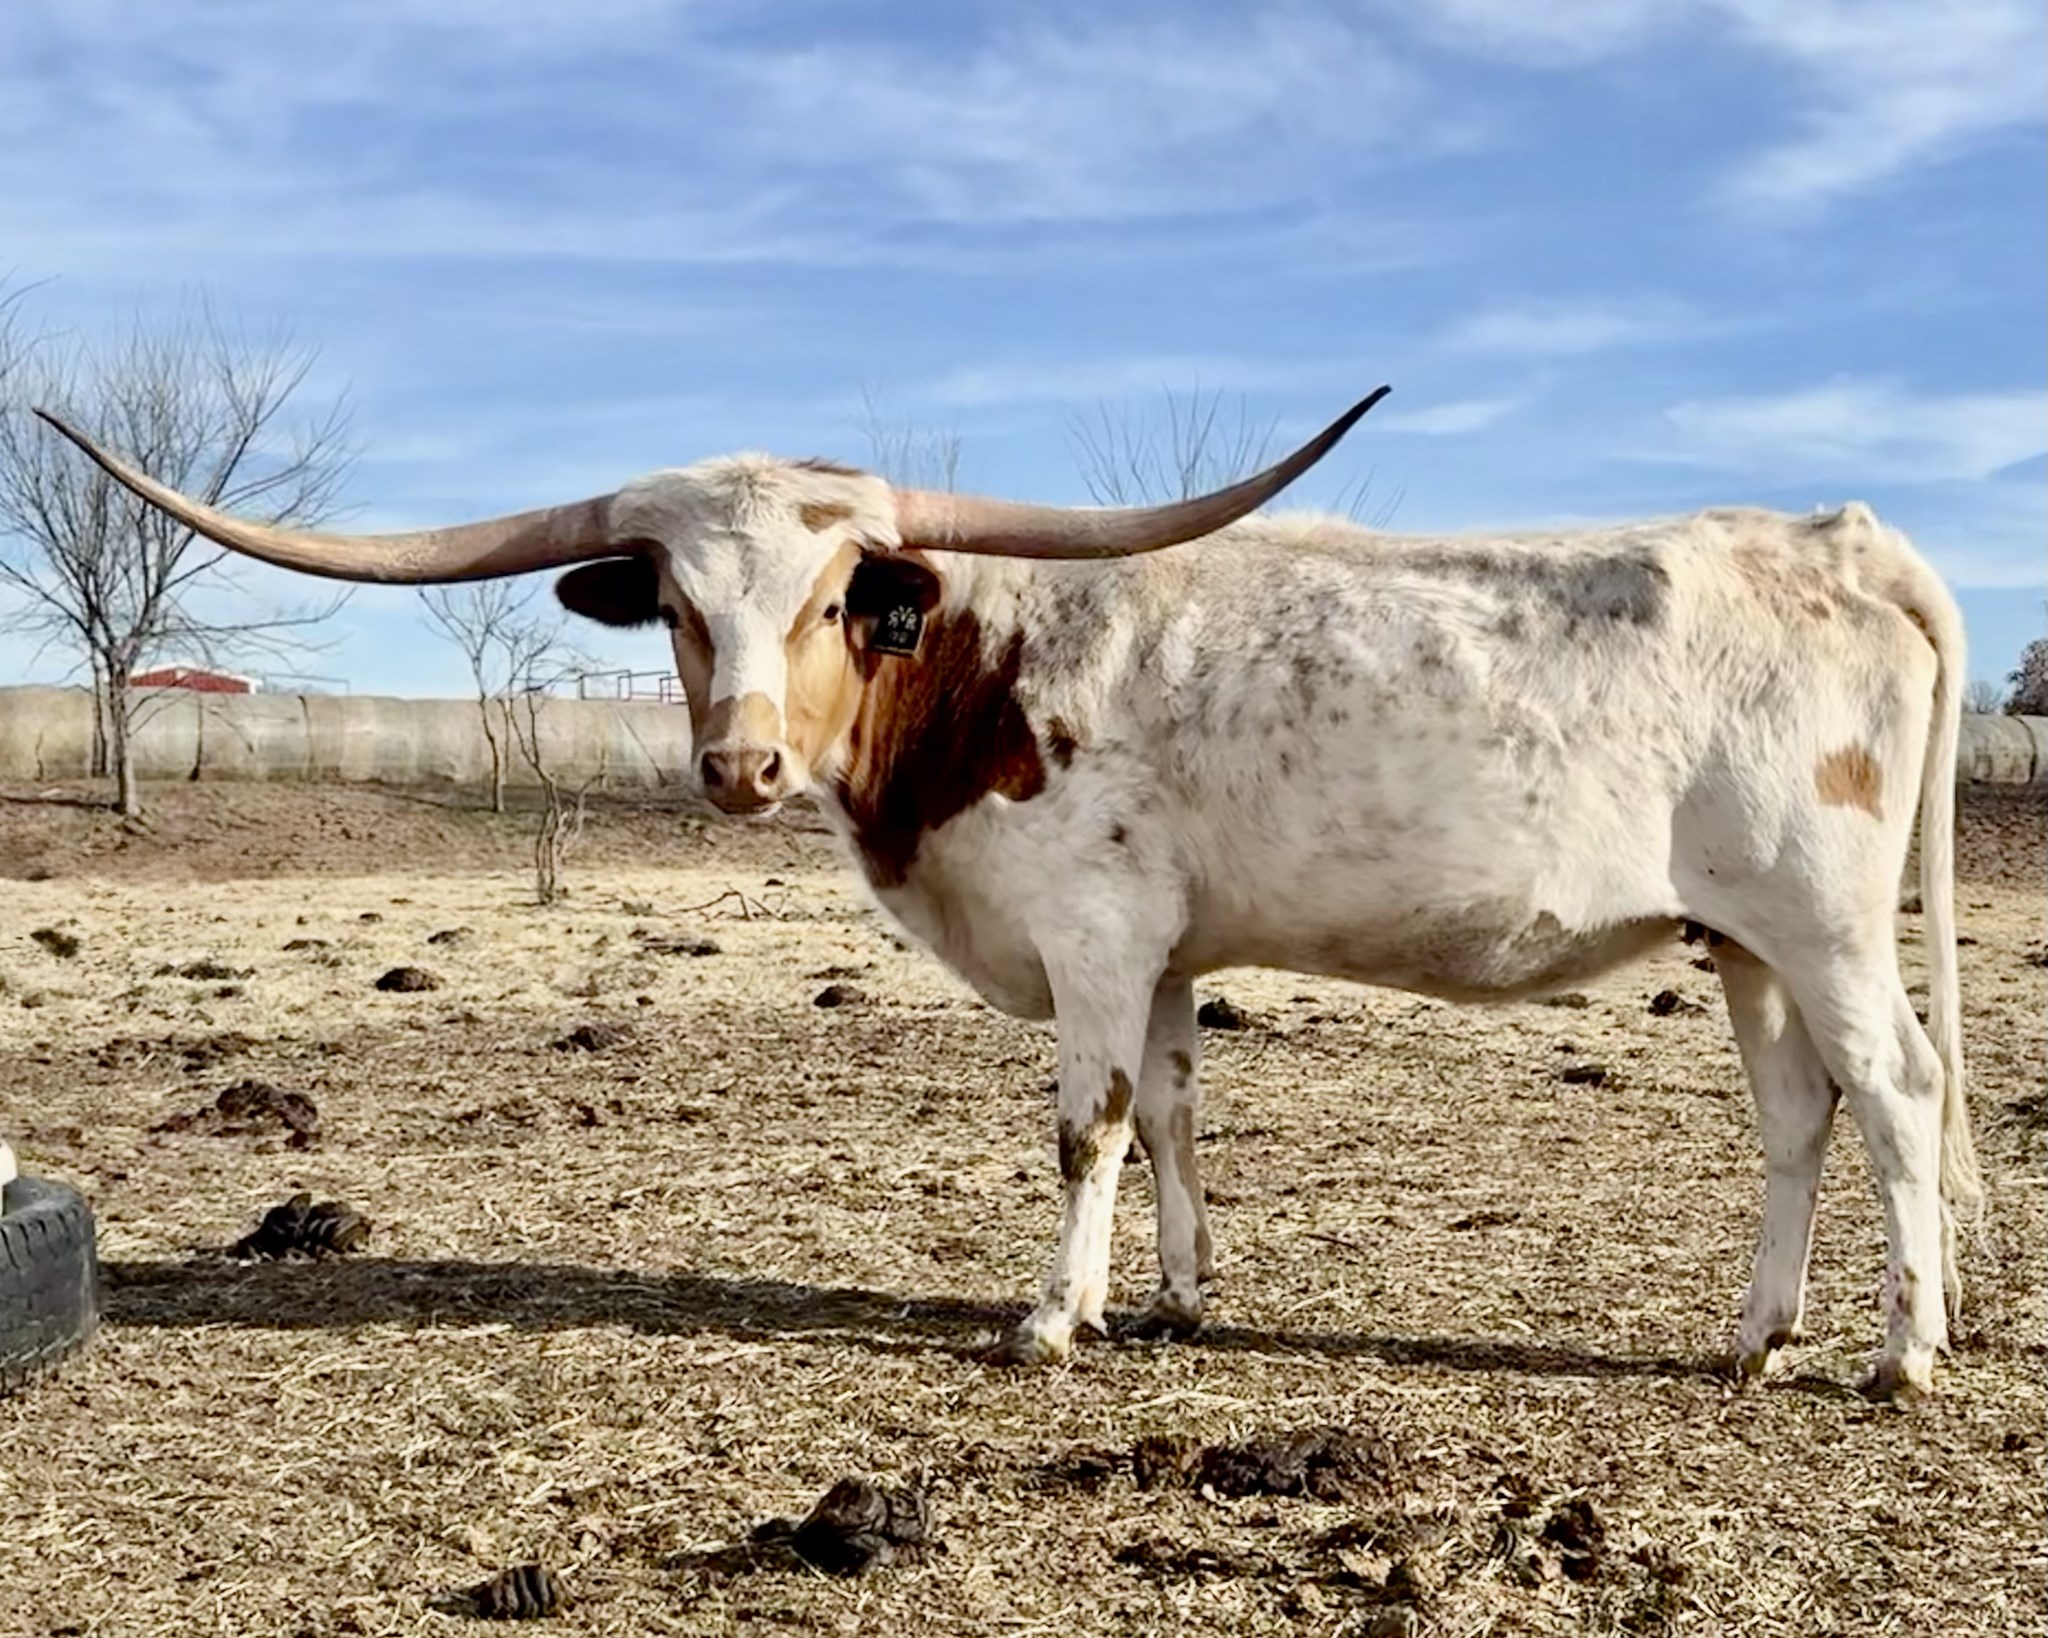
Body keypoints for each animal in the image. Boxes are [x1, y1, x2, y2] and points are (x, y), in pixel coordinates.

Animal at [37, 391, 1979, 1398]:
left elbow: (1087, 1122)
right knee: (1797, 1113)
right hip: (1740, 942)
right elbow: (1177, 1107)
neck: (981, 666)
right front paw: (1177, 1293)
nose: (740, 762)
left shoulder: (1095, 937)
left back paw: (1902, 1351)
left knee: (1895, 1090)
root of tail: (1841, 537)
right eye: (675, 602)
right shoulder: (1167, 951)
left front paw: (1051, 1313)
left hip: (1822, 920)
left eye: (836, 592)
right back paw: (1756, 1330)